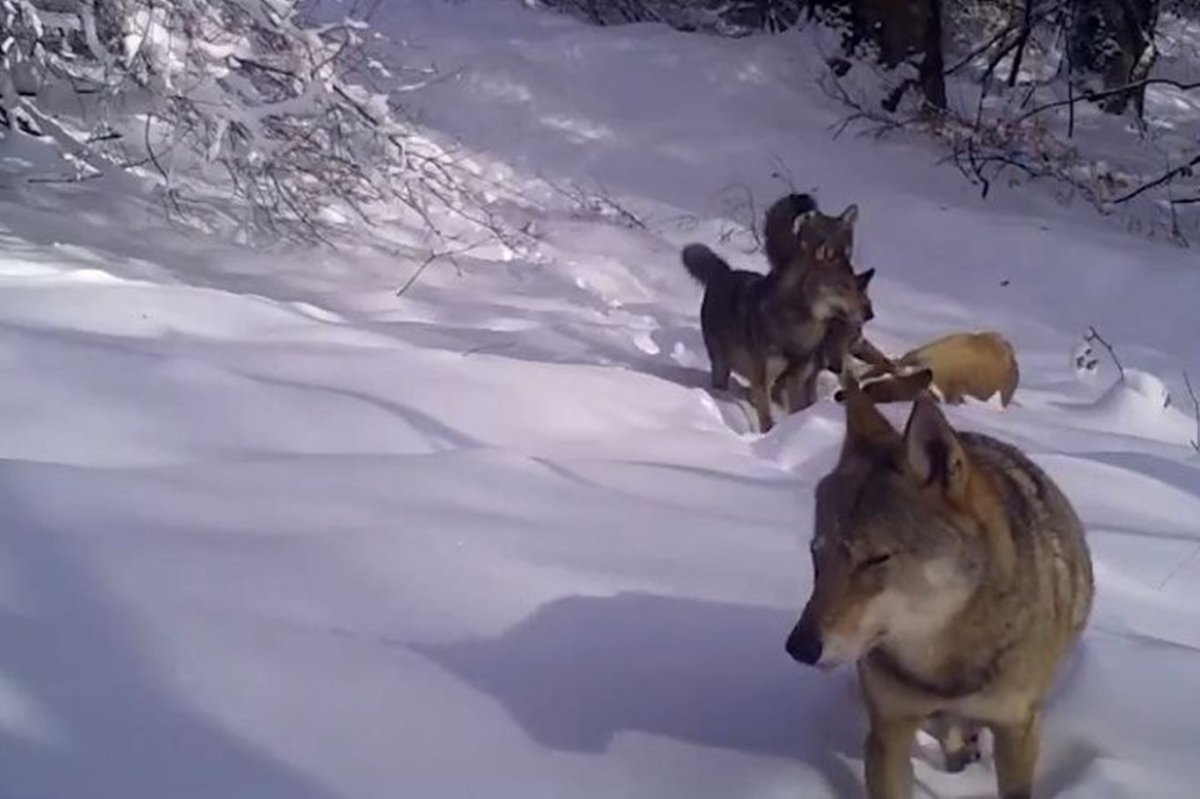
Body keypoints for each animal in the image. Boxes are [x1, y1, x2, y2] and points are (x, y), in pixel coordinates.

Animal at [782, 374, 1094, 796]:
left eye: (875, 559)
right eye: (817, 553)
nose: (798, 647)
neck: (941, 664)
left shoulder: (1018, 730)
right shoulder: (889, 730)